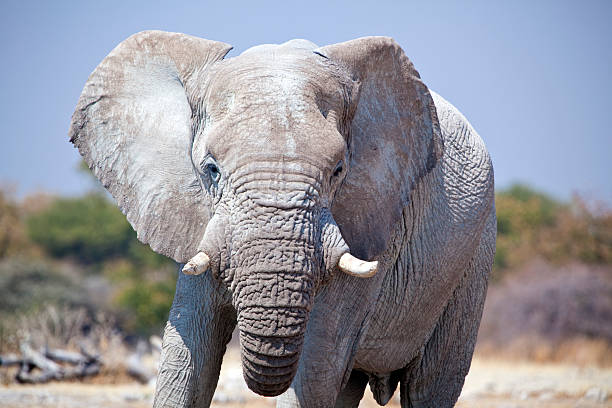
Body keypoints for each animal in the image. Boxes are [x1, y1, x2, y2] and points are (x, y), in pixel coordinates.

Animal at [68, 30, 498, 406]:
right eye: (211, 170)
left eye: (338, 171)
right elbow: (189, 356)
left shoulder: (372, 223)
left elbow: (314, 365)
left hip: (474, 255)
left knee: (429, 385)